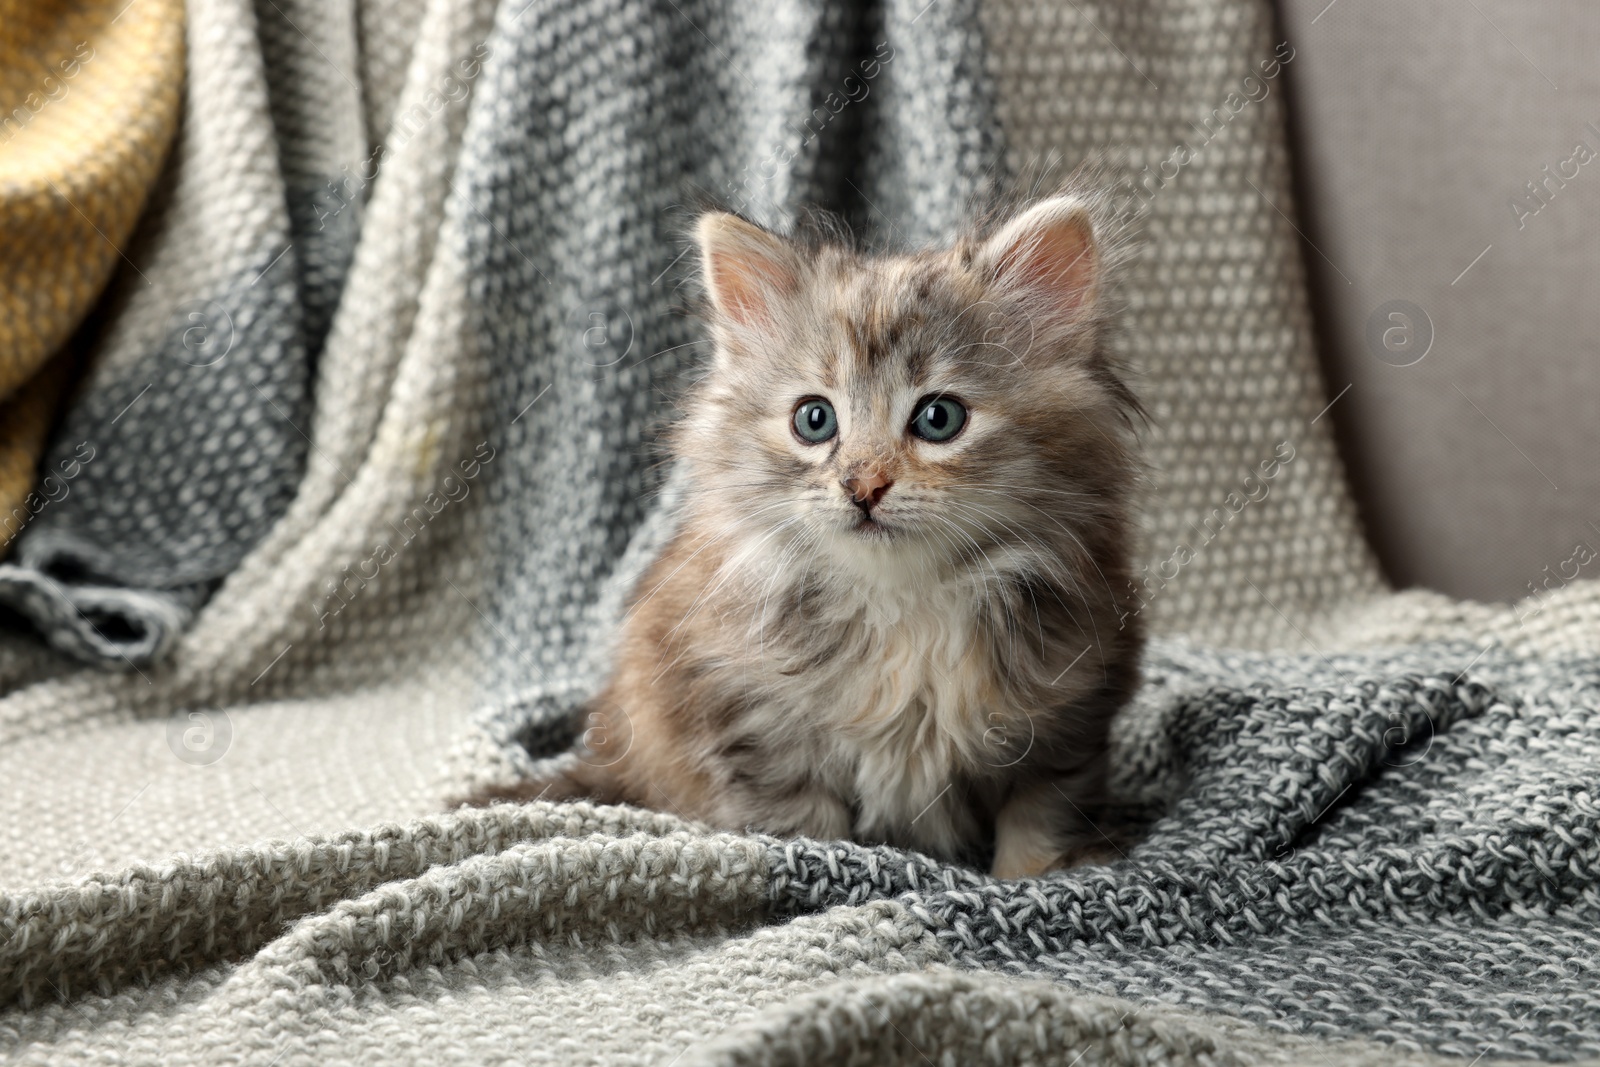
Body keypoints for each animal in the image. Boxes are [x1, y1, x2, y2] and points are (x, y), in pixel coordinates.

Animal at [470, 194, 1139, 883]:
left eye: (939, 418)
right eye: (814, 420)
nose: (863, 486)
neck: (903, 605)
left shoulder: (1070, 715)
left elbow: (1039, 816)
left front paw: (1032, 878)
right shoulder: (753, 722)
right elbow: (807, 824)